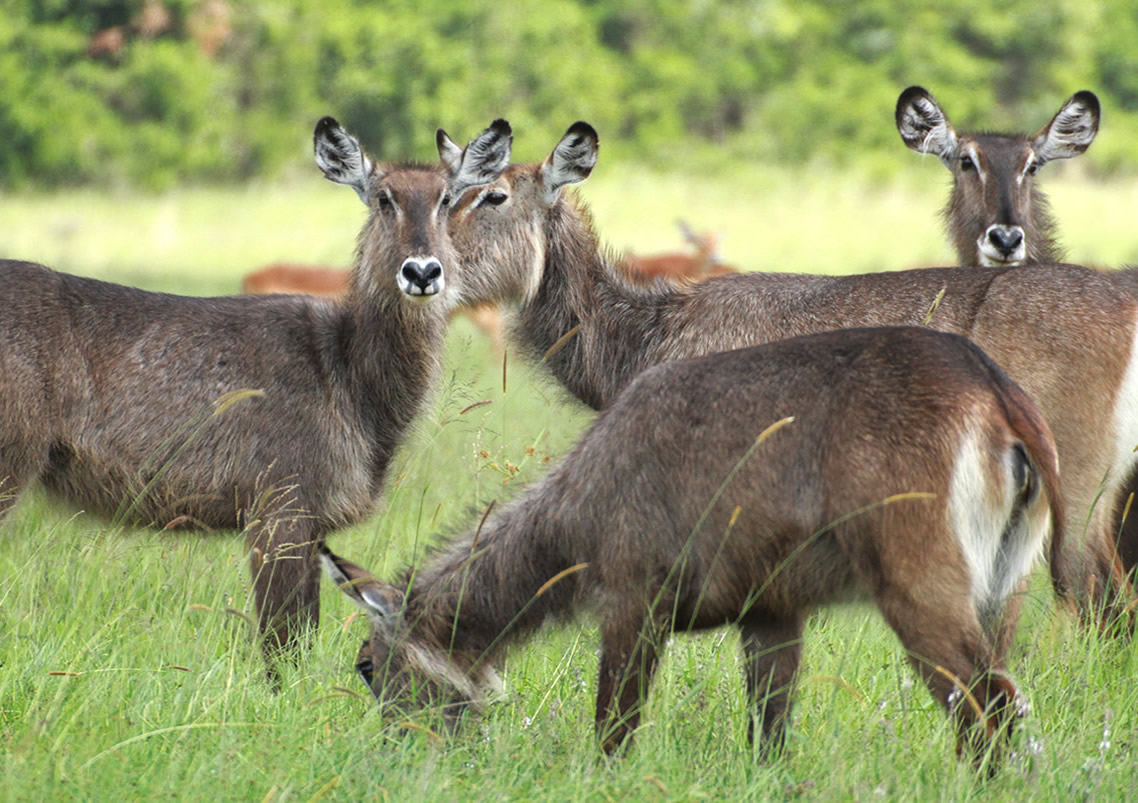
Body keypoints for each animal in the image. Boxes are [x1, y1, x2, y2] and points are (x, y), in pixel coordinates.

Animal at [0, 114, 512, 673]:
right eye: (383, 197)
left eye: (447, 199)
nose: (421, 271)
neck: (347, 374)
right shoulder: (278, 507)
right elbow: (281, 644)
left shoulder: (311, 523)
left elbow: (301, 635)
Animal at [325, 325, 1060, 764]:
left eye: (365, 665)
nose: (393, 756)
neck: (577, 507)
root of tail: (992, 385)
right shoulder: (771, 612)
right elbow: (769, 734)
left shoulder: (631, 603)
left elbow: (613, 726)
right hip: (1003, 590)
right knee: (1004, 700)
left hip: (919, 584)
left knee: (988, 704)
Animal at [421, 121, 1138, 627]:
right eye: (446, 194)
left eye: (492, 196)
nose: (420, 270)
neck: (650, 333)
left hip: (1073, 491)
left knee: (1098, 597)